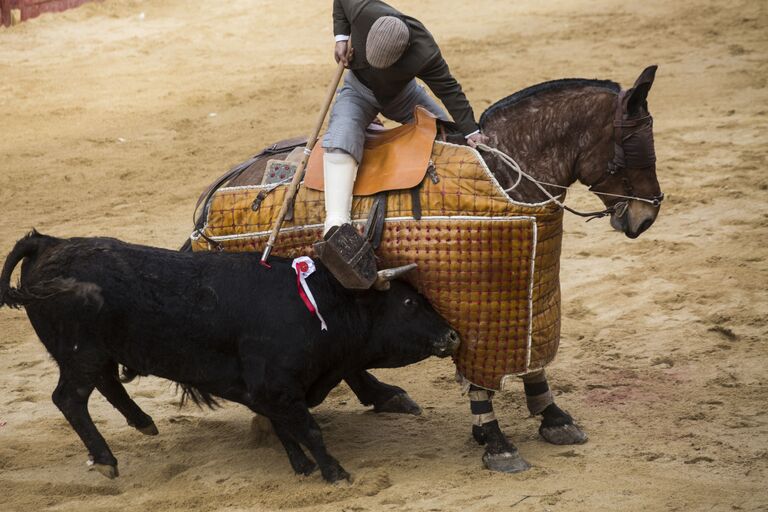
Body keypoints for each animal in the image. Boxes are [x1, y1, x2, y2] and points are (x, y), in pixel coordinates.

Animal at [0, 230, 456, 482]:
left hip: (95, 353)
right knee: (70, 399)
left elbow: (286, 429)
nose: (452, 335)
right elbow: (308, 430)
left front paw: (303, 468)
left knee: (107, 382)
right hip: (81, 354)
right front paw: (335, 473)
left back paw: (144, 423)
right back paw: (107, 460)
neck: (321, 306)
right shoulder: (277, 387)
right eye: (409, 304)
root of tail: (49, 244)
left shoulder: (268, 392)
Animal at [184, 66, 660, 474]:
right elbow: (483, 377)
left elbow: (531, 361)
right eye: (637, 149)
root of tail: (214, 197)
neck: (504, 171)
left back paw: (386, 396)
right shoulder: (476, 311)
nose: (646, 217)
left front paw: (554, 418)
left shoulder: (526, 292)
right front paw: (496, 443)